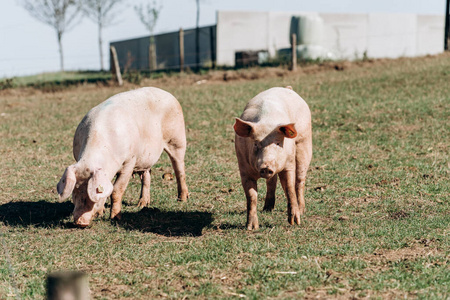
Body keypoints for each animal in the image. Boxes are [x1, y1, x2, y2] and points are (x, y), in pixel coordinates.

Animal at [57, 87, 189, 227]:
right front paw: (101, 213)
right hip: (146, 156)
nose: (80, 222)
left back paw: (182, 199)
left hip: (177, 138)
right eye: (75, 193)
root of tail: (168, 93)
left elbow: (116, 190)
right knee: (147, 174)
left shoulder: (129, 161)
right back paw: (142, 204)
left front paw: (115, 218)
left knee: (179, 168)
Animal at [234, 86, 312, 230]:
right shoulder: (243, 168)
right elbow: (251, 196)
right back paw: (267, 209)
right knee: (272, 182)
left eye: (277, 143)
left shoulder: (289, 164)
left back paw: (302, 210)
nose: (266, 166)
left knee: (299, 181)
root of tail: (287, 88)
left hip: (304, 142)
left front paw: (295, 222)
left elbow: (290, 187)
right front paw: (251, 227)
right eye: (255, 143)